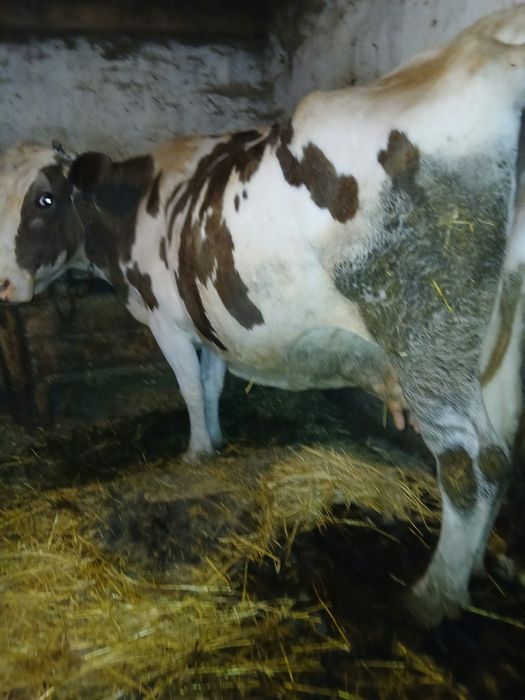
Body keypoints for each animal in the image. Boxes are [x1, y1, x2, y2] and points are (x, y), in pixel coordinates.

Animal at [1, 6, 525, 625]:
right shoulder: (207, 319)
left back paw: (433, 595)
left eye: (45, 200)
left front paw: (196, 451)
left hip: (428, 329)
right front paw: (217, 436)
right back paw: (473, 571)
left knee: (471, 462)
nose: (4, 285)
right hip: (497, 339)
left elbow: (188, 387)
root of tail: (487, 42)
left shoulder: (165, 319)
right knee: (503, 453)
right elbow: (212, 381)